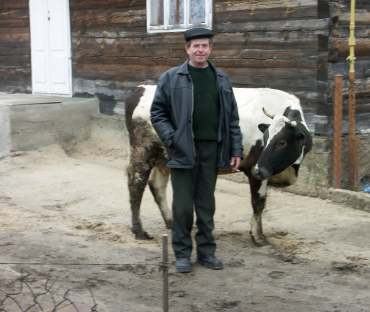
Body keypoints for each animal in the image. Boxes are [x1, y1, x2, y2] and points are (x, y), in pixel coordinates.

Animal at [125, 86, 310, 246]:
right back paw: (139, 231)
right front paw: (258, 237)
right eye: (264, 139)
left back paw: (171, 222)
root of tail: (142, 88)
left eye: (282, 142)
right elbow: (258, 202)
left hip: (164, 156)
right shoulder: (255, 169)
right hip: (144, 149)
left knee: (157, 184)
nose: (260, 170)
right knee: (136, 183)